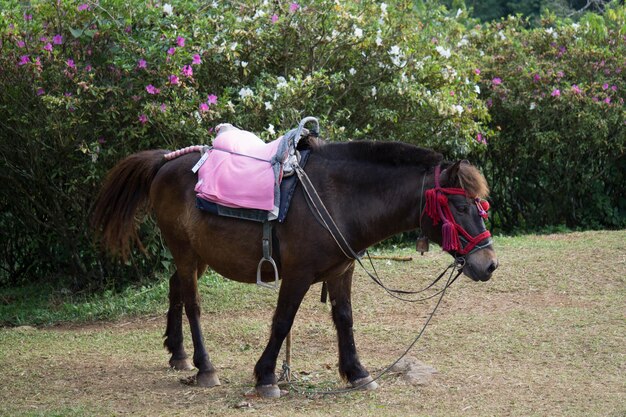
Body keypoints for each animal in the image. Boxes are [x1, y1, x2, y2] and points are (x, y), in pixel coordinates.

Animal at [89, 136, 498, 396]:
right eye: (461, 206)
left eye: (481, 205)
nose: (489, 263)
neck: (339, 198)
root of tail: (167, 161)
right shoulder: (298, 275)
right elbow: (283, 320)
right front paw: (267, 376)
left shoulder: (341, 272)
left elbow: (344, 319)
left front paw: (357, 372)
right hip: (186, 252)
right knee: (192, 304)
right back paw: (205, 367)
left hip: (197, 254)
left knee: (175, 288)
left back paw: (178, 355)